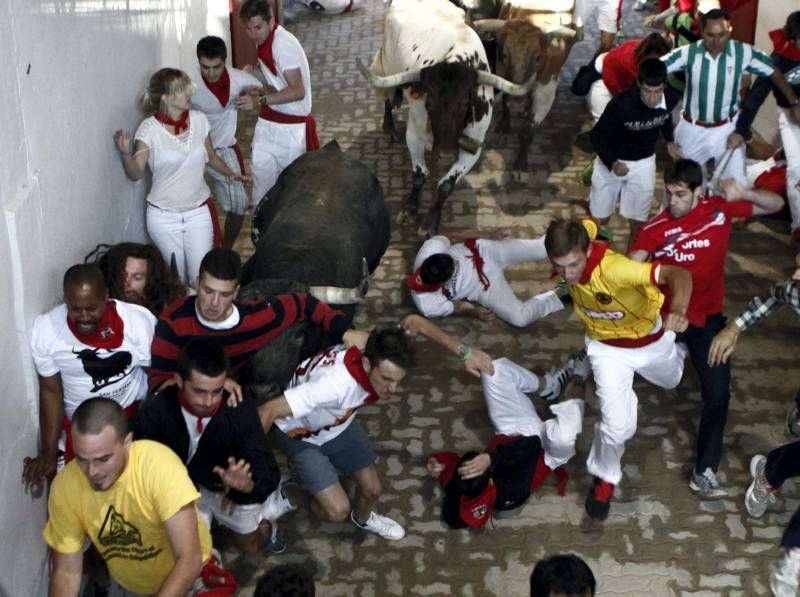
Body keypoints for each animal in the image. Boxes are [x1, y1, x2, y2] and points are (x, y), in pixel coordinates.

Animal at [356, 0, 532, 235]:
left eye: (466, 103)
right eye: (429, 103)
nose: (446, 153)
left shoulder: (473, 148)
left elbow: (446, 185)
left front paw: (430, 220)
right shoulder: (414, 135)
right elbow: (419, 175)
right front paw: (410, 208)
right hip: (387, 67)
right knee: (389, 96)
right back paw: (389, 127)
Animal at [472, 0, 580, 172]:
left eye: (538, 57)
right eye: (504, 54)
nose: (518, 103)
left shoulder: (546, 92)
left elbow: (528, 132)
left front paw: (520, 165)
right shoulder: (501, 70)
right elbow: (505, 103)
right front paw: (503, 128)